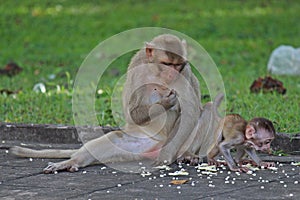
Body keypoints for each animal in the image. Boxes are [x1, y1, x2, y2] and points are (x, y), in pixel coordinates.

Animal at [10, 34, 205, 172]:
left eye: (178, 65)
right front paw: (164, 102)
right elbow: (133, 111)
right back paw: (73, 161)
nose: (173, 74)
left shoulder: (185, 73)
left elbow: (191, 111)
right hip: (140, 140)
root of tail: (158, 145)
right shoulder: (137, 71)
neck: (157, 73)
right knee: (112, 140)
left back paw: (186, 154)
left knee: (199, 115)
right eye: (166, 64)